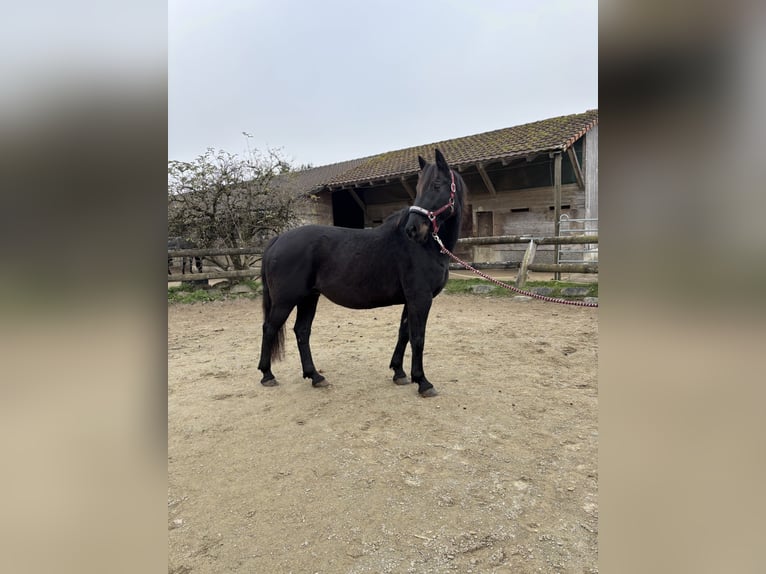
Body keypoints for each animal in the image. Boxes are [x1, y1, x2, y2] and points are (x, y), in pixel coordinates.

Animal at [258, 151, 464, 398]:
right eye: (418, 188)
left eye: (436, 185)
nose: (413, 229)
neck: (426, 247)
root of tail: (278, 239)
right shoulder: (420, 298)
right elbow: (418, 338)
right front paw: (422, 381)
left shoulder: (410, 300)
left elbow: (403, 333)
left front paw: (399, 373)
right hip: (285, 301)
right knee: (270, 328)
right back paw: (267, 375)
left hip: (309, 298)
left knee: (302, 331)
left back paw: (315, 376)